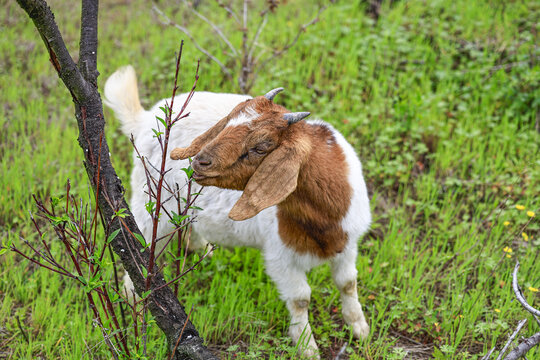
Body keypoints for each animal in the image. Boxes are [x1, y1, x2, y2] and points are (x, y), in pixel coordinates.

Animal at [104, 65, 372, 358]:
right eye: (226, 124)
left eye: (261, 146)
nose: (199, 161)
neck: (324, 223)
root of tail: (142, 121)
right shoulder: (280, 257)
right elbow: (301, 299)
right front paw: (307, 347)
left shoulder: (348, 244)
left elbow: (348, 282)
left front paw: (360, 329)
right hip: (150, 199)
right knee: (139, 251)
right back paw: (135, 307)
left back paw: (200, 250)